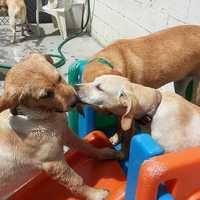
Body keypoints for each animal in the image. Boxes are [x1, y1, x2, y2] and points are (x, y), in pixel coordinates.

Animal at [0, 53, 118, 200]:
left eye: (59, 78)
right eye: (46, 95)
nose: (76, 100)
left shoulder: (65, 133)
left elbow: (85, 146)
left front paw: (102, 153)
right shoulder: (53, 163)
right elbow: (76, 180)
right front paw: (96, 195)